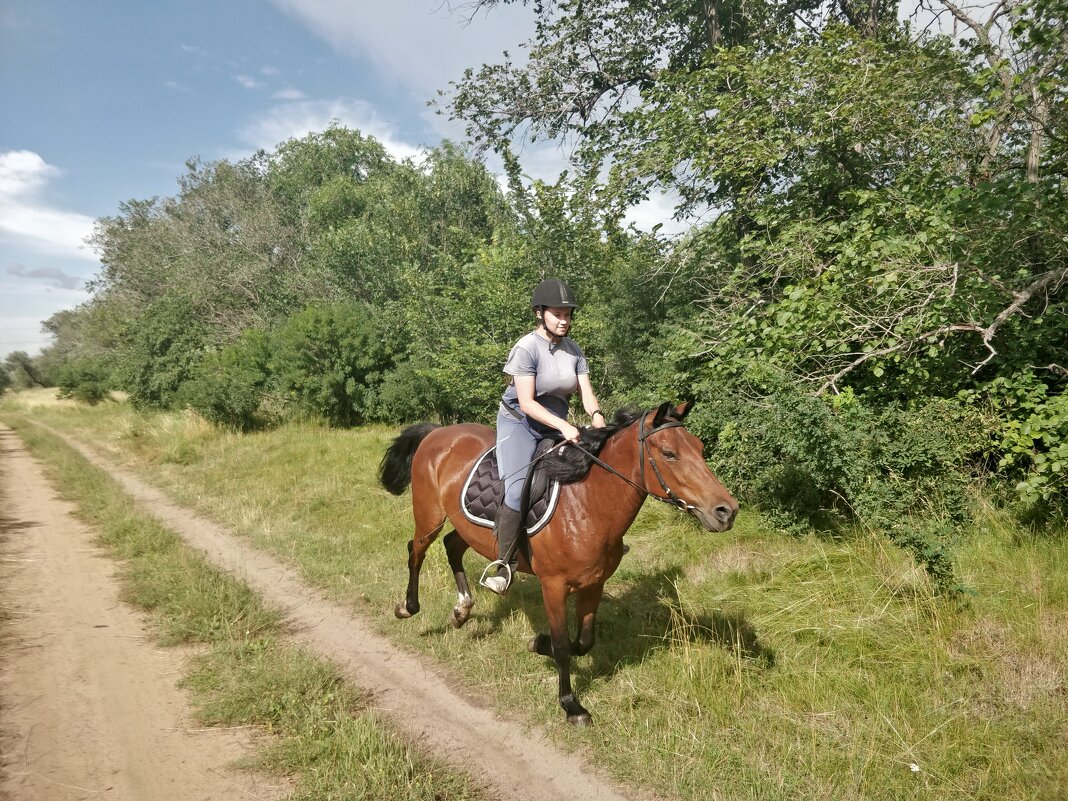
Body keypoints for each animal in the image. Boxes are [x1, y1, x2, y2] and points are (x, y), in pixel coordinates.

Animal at [380, 401, 739, 726]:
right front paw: (571, 705)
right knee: (416, 551)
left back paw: (461, 610)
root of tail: (438, 432)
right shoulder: (553, 586)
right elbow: (565, 645)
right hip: (429, 515)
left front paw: (539, 643)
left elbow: (583, 641)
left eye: (700, 449)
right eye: (669, 454)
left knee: (452, 546)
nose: (726, 511)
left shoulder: (593, 584)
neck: (587, 503)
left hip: (467, 527)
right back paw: (408, 607)